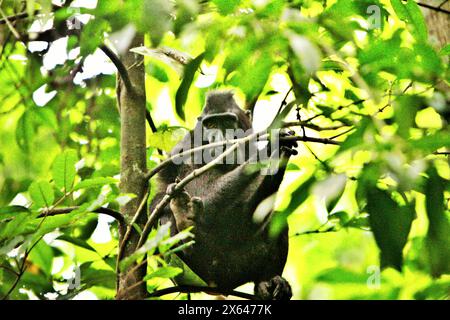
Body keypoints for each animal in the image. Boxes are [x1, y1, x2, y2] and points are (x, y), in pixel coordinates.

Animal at [151, 90, 298, 300]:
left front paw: (280, 155)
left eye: (228, 121)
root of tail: (217, 286)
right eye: (211, 125)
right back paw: (184, 223)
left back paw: (267, 283)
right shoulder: (189, 150)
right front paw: (272, 147)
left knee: (277, 220)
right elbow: (205, 195)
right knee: (163, 213)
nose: (218, 138)